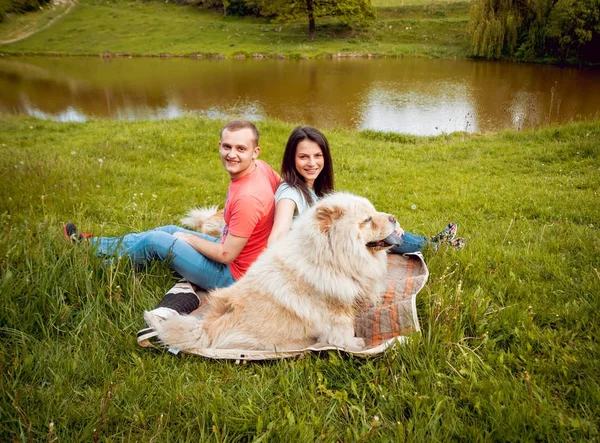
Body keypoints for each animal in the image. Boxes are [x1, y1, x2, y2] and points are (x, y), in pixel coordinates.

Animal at [145, 193, 400, 352]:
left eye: (374, 212)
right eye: (367, 220)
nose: (394, 218)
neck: (332, 259)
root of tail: (207, 330)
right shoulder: (336, 312)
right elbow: (343, 334)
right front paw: (356, 344)